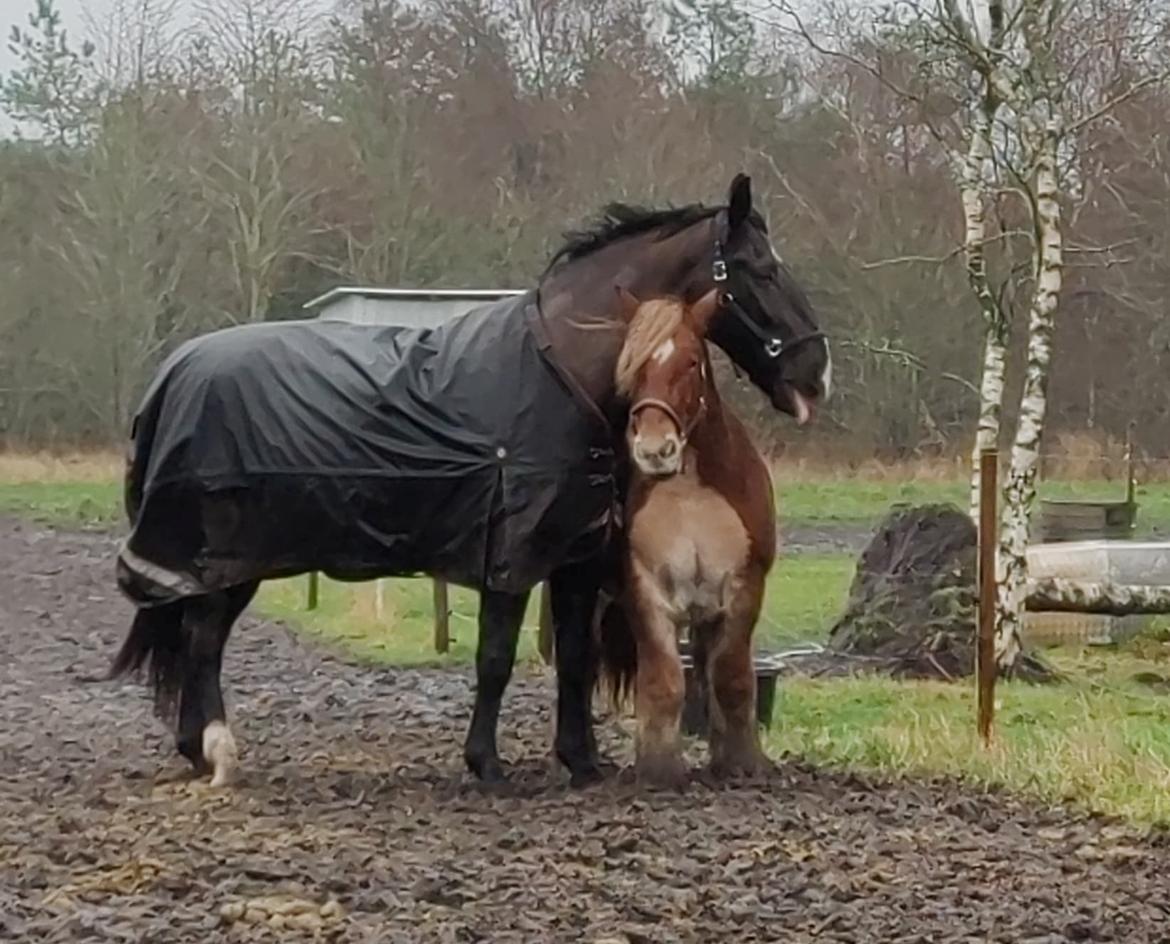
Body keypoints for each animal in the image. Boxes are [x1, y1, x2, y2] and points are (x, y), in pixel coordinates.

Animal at [603, 287, 776, 790]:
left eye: (692, 361)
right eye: (633, 364)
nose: (654, 449)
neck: (690, 493)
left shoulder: (744, 588)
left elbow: (731, 677)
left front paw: (740, 761)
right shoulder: (645, 591)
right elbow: (663, 681)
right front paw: (659, 766)